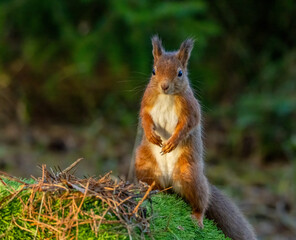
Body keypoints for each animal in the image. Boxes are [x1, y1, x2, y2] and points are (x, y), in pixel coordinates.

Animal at [135, 36, 256, 240]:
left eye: (180, 73)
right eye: (154, 71)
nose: (164, 86)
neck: (166, 96)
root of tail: (169, 182)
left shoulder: (190, 108)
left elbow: (188, 124)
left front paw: (172, 142)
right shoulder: (147, 101)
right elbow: (144, 117)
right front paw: (151, 135)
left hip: (190, 176)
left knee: (201, 202)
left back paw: (197, 217)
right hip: (146, 166)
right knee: (155, 186)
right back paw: (148, 191)